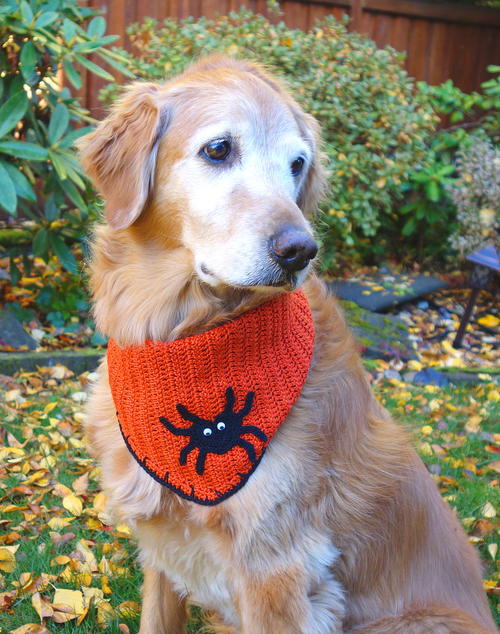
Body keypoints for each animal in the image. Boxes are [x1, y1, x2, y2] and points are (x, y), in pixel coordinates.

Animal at [79, 56, 496, 628]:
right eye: (218, 149)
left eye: (297, 164)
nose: (301, 250)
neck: (178, 335)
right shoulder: (164, 546)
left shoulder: (274, 568)